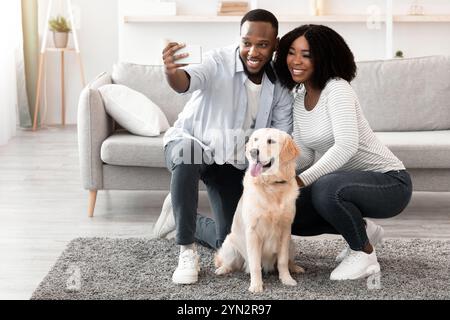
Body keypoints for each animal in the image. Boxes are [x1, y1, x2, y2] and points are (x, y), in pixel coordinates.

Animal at [214, 127, 306, 292]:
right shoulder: (253, 232)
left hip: (291, 244)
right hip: (230, 245)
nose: (253, 152)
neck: (272, 186)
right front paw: (256, 285)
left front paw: (287, 279)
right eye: (255, 139)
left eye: (271, 141)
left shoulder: (285, 229)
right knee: (229, 262)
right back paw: (222, 269)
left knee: (288, 260)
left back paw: (295, 267)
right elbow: (255, 264)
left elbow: (282, 261)